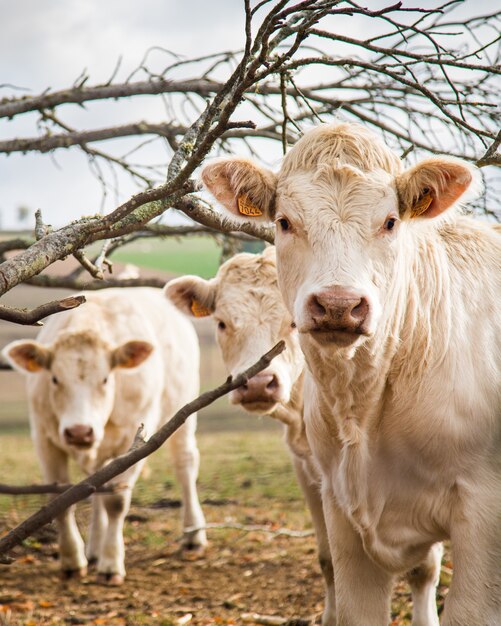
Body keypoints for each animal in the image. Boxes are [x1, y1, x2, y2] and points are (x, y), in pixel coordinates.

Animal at [2, 286, 206, 584]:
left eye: (106, 379)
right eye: (54, 378)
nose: (79, 431)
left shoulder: (135, 440)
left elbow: (116, 502)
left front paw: (111, 564)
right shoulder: (43, 437)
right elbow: (61, 500)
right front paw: (73, 561)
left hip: (183, 409)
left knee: (185, 465)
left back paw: (194, 535)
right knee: (96, 483)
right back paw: (94, 550)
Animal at [165, 247, 442, 624]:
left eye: (293, 323)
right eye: (221, 323)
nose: (257, 383)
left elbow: (423, 568)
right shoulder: (312, 472)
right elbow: (329, 559)